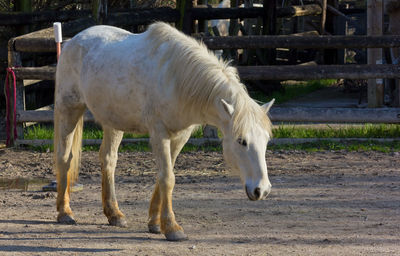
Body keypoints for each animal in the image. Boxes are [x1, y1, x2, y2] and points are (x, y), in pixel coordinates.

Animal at [54, 21, 276, 240]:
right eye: (241, 141)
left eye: (266, 141)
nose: (262, 190)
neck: (176, 78)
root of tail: (72, 42)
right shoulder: (159, 133)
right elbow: (168, 178)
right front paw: (172, 228)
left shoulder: (180, 135)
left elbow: (163, 176)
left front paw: (155, 222)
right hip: (69, 109)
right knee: (65, 157)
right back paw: (65, 212)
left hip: (113, 122)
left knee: (108, 159)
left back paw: (114, 214)